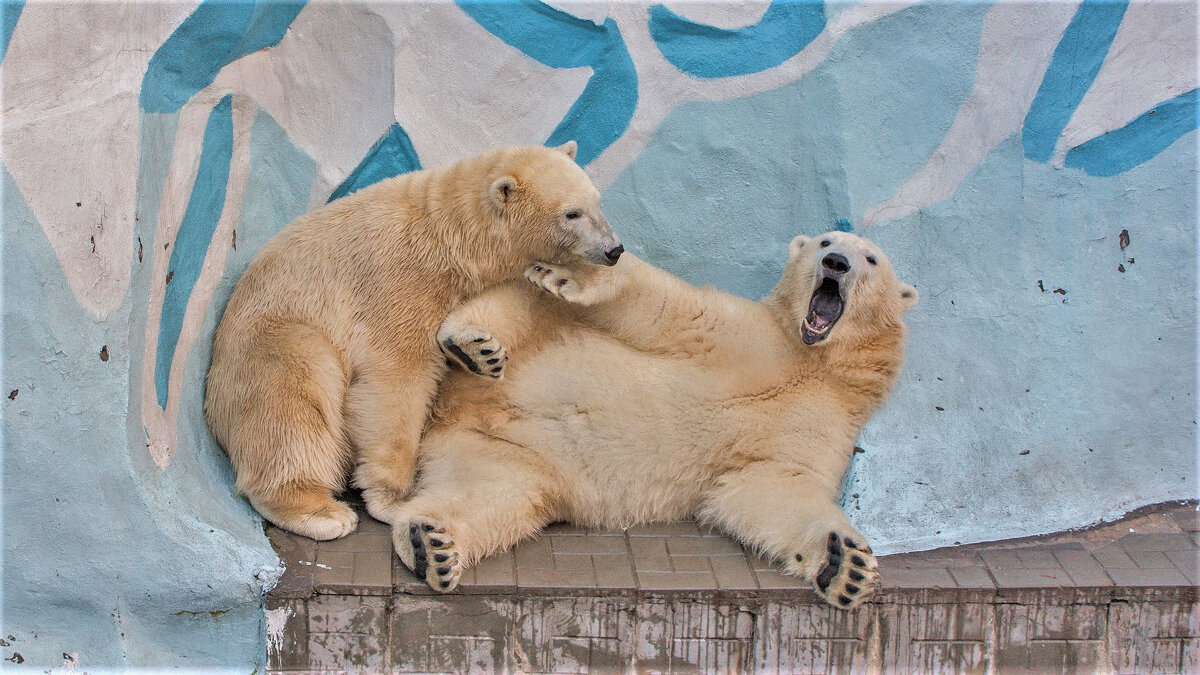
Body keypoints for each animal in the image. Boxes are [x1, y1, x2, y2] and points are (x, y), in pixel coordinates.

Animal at [202, 139, 624, 538]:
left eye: (597, 201)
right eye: (572, 213)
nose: (615, 249)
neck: (449, 235)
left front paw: (478, 353)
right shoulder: (401, 285)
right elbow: (395, 381)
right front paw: (392, 498)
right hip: (273, 337)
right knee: (295, 396)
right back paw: (320, 513)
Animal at [396, 228, 916, 607]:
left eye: (871, 259)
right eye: (826, 242)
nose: (837, 264)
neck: (814, 359)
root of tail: (451, 410)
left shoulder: (828, 421)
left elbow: (770, 487)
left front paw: (845, 565)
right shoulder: (743, 332)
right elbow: (669, 308)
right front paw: (570, 277)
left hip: (504, 453)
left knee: (494, 494)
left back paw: (431, 543)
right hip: (537, 340)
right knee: (520, 301)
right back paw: (471, 343)